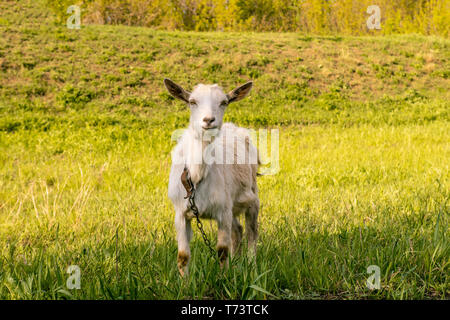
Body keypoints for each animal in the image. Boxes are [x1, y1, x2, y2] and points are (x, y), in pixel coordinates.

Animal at [164, 79, 260, 276]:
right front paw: (184, 282)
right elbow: (183, 255)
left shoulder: (223, 210)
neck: (196, 176)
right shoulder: (180, 213)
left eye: (224, 102)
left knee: (251, 232)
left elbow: (222, 251)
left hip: (251, 194)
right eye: (192, 102)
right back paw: (237, 262)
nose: (208, 120)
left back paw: (251, 267)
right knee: (238, 231)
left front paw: (223, 278)